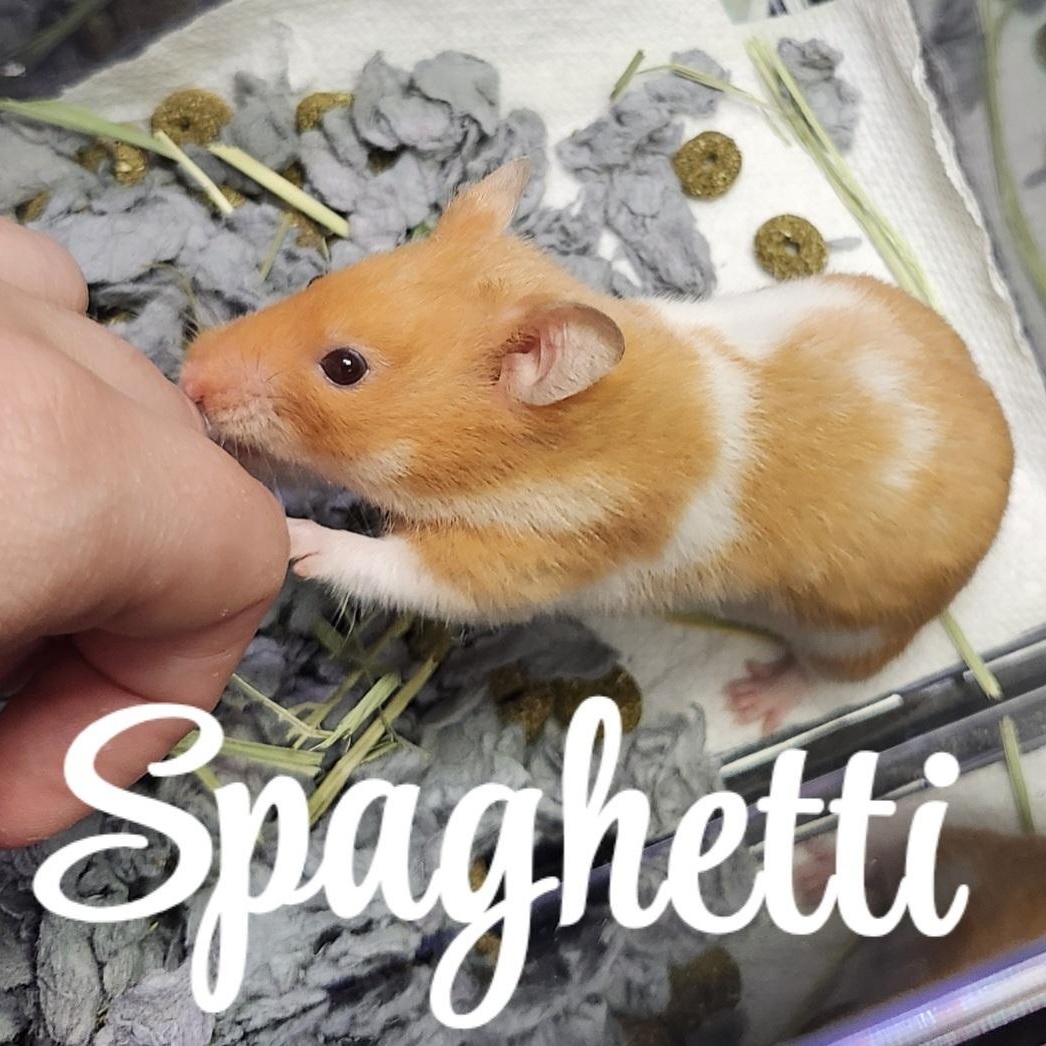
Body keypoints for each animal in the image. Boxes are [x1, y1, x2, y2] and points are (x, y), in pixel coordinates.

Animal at [180, 159, 1014, 729]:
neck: (549, 439)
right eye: (315, 284)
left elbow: (397, 568)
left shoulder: (524, 558)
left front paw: (297, 540)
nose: (187, 374)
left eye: (345, 368)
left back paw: (755, 699)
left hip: (853, 630)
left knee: (830, 675)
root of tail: (1006, 442)